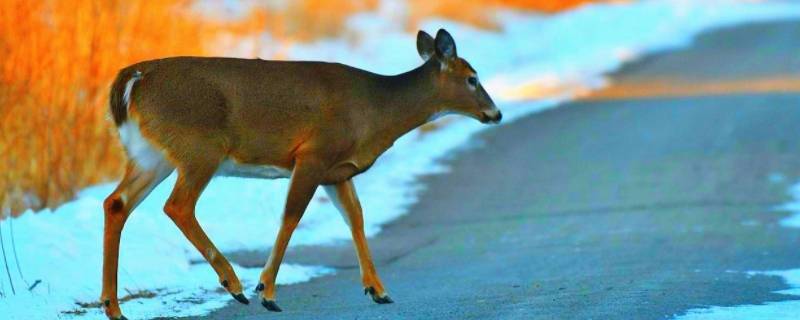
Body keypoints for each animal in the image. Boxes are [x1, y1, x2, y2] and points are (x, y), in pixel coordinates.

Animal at [100, 28, 500, 318]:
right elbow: (291, 216)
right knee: (178, 206)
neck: (377, 111)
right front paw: (267, 292)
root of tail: (132, 78)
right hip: (200, 147)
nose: (495, 113)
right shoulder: (313, 154)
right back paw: (234, 284)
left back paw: (113, 308)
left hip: (152, 154)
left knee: (116, 203)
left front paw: (378, 290)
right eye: (472, 78)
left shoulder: (337, 171)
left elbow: (356, 219)